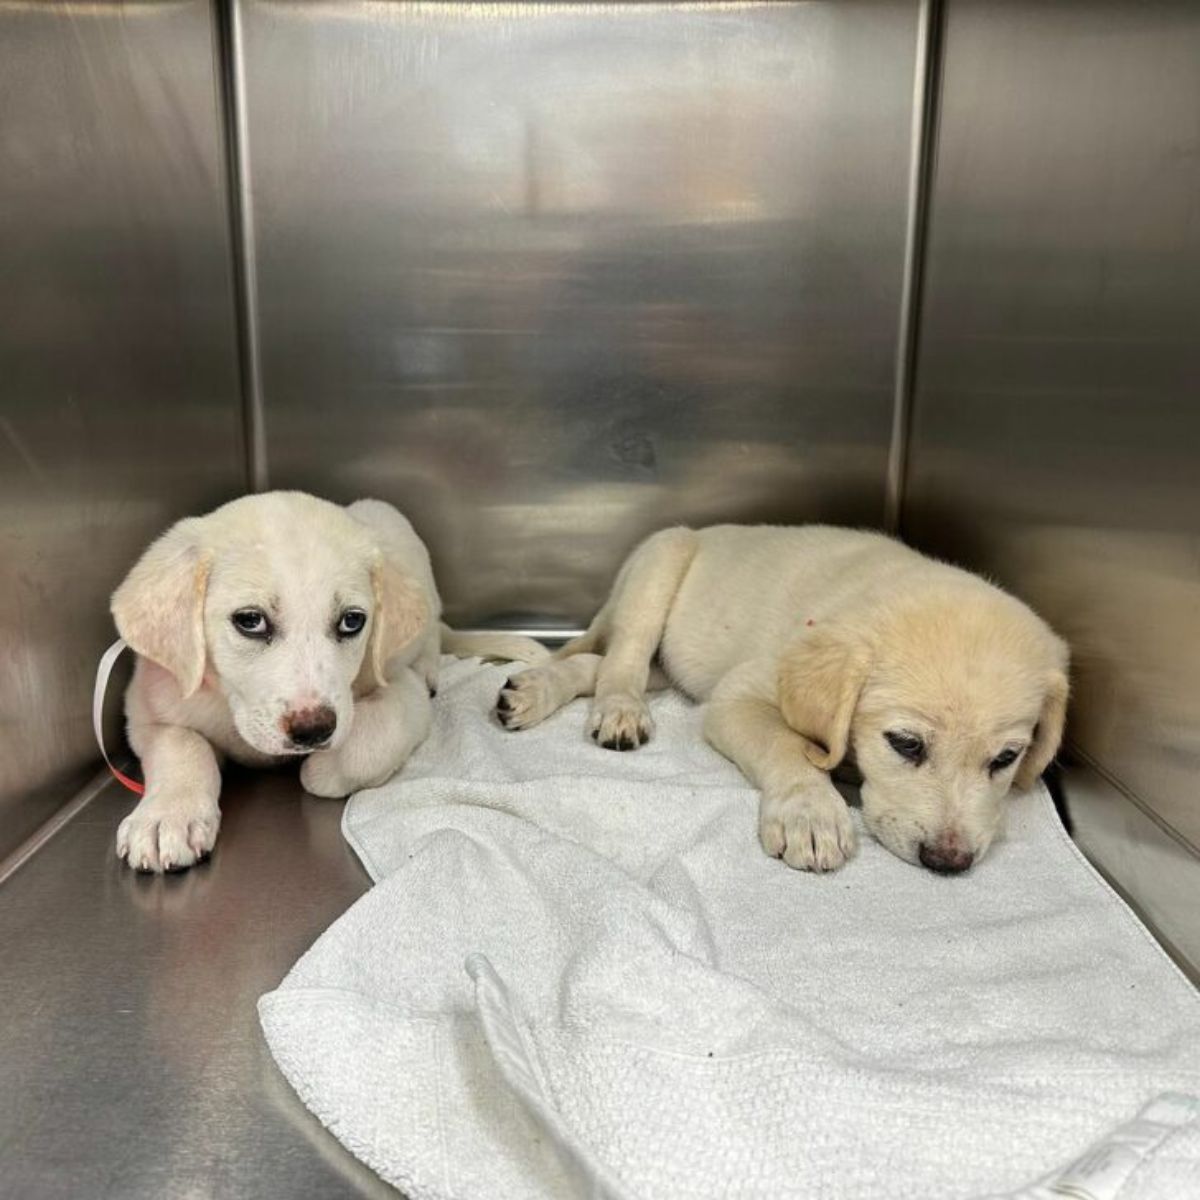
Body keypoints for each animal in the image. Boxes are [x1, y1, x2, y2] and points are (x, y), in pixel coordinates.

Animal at [112, 492, 544, 878]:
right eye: (250, 621)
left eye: (352, 621)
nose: (313, 730)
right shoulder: (146, 707)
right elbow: (182, 743)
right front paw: (166, 817)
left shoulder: (402, 688)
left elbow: (371, 740)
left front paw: (324, 769)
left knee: (432, 636)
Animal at [496, 525, 1070, 873]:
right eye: (906, 744)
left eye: (1006, 758)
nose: (948, 863)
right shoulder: (737, 696)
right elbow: (788, 745)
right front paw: (810, 815)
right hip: (661, 562)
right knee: (620, 663)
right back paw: (617, 710)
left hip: (670, 659)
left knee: (597, 663)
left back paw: (531, 691)